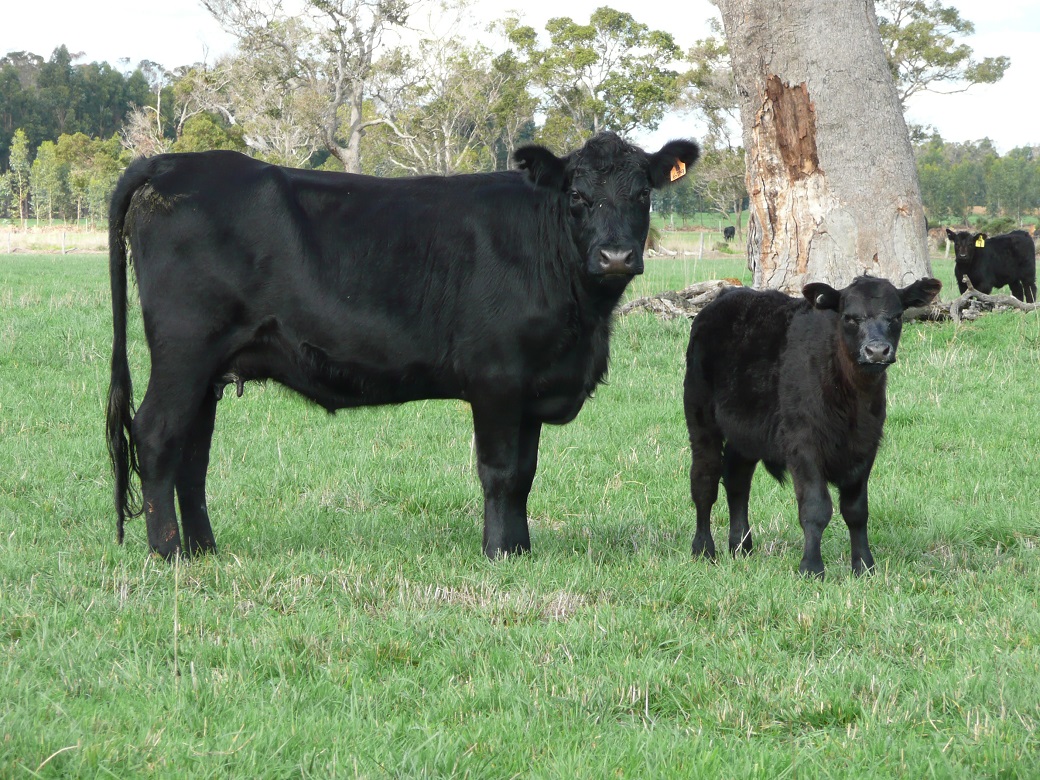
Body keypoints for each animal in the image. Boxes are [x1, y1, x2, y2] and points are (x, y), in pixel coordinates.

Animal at [107, 133, 698, 561]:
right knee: (157, 435)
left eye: (643, 194)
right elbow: (501, 472)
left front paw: (522, 549)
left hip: (209, 368)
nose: (616, 256)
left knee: (193, 455)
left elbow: (525, 474)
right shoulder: (497, 377)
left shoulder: (531, 386)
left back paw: (204, 550)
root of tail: (168, 164)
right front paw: (499, 552)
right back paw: (167, 553)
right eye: (577, 195)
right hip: (184, 351)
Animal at [682, 272, 944, 574]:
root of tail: (727, 295)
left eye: (897, 316)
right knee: (704, 481)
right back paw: (703, 548)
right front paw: (811, 567)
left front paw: (864, 566)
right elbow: (816, 508)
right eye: (849, 317)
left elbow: (856, 511)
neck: (851, 401)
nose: (877, 351)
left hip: (745, 433)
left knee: (737, 481)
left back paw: (741, 547)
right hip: (700, 417)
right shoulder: (802, 445)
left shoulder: (866, 447)